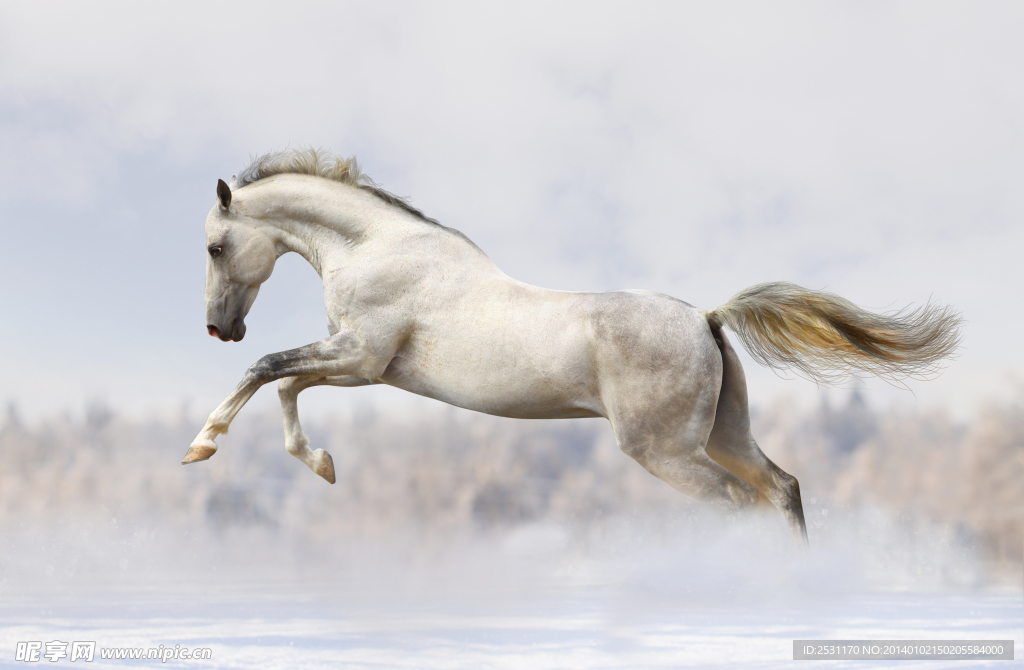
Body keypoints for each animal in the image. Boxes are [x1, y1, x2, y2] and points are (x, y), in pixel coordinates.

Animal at [183, 149, 962, 542]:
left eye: (216, 247)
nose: (219, 328)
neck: (378, 247)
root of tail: (707, 318)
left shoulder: (361, 357)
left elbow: (267, 370)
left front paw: (201, 446)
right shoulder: (363, 366)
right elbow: (286, 383)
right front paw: (321, 465)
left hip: (665, 451)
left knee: (740, 505)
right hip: (724, 433)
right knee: (782, 490)